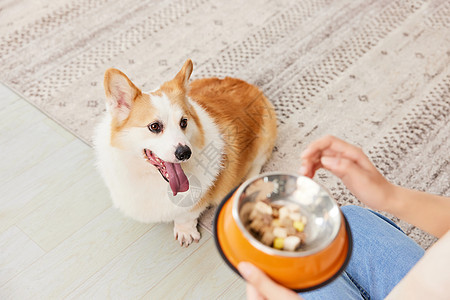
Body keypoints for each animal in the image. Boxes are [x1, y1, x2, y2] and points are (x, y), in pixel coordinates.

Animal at [94, 59, 278, 246]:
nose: (185, 153)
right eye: (154, 126)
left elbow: (187, 214)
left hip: (265, 138)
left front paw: (185, 231)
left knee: (256, 165)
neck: (148, 176)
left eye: (184, 122)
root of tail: (249, 85)